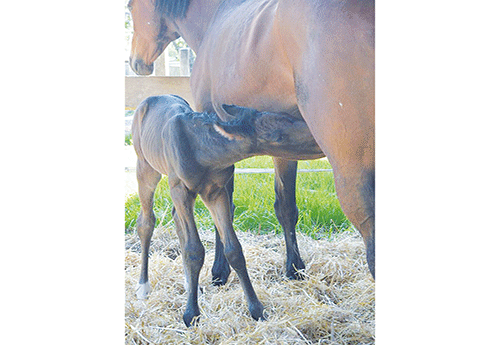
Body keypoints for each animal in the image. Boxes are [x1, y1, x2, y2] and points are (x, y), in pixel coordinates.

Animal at [127, 0, 374, 280]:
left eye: (130, 7)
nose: (135, 62)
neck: (213, 21)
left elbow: (225, 209)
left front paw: (219, 270)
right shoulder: (281, 147)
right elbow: (285, 206)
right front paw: (294, 268)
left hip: (352, 167)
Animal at [131, 94, 322, 326]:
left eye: (288, 118)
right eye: (277, 136)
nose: (315, 136)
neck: (203, 150)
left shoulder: (216, 191)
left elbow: (234, 249)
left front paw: (257, 310)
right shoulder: (180, 188)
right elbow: (194, 250)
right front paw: (191, 314)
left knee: (176, 220)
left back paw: (189, 285)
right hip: (146, 168)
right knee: (146, 221)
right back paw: (143, 286)